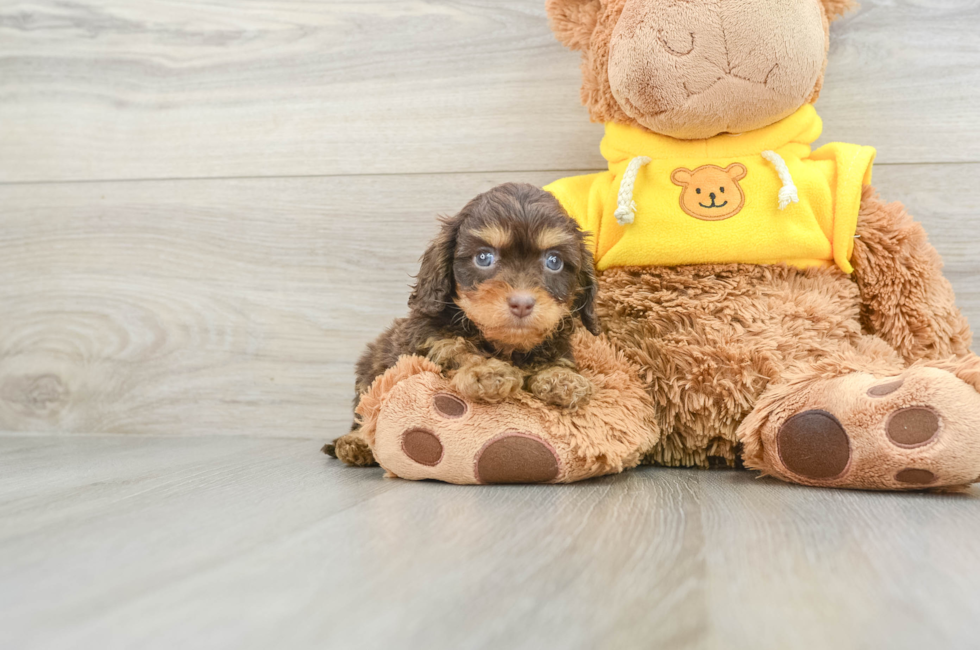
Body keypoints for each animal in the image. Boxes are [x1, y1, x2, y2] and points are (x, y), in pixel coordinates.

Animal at [324, 182, 596, 466]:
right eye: (484, 258)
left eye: (554, 261)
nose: (522, 303)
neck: (505, 346)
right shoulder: (427, 339)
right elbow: (454, 349)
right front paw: (487, 372)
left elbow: (558, 359)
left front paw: (562, 378)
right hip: (369, 374)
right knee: (363, 415)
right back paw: (355, 443)